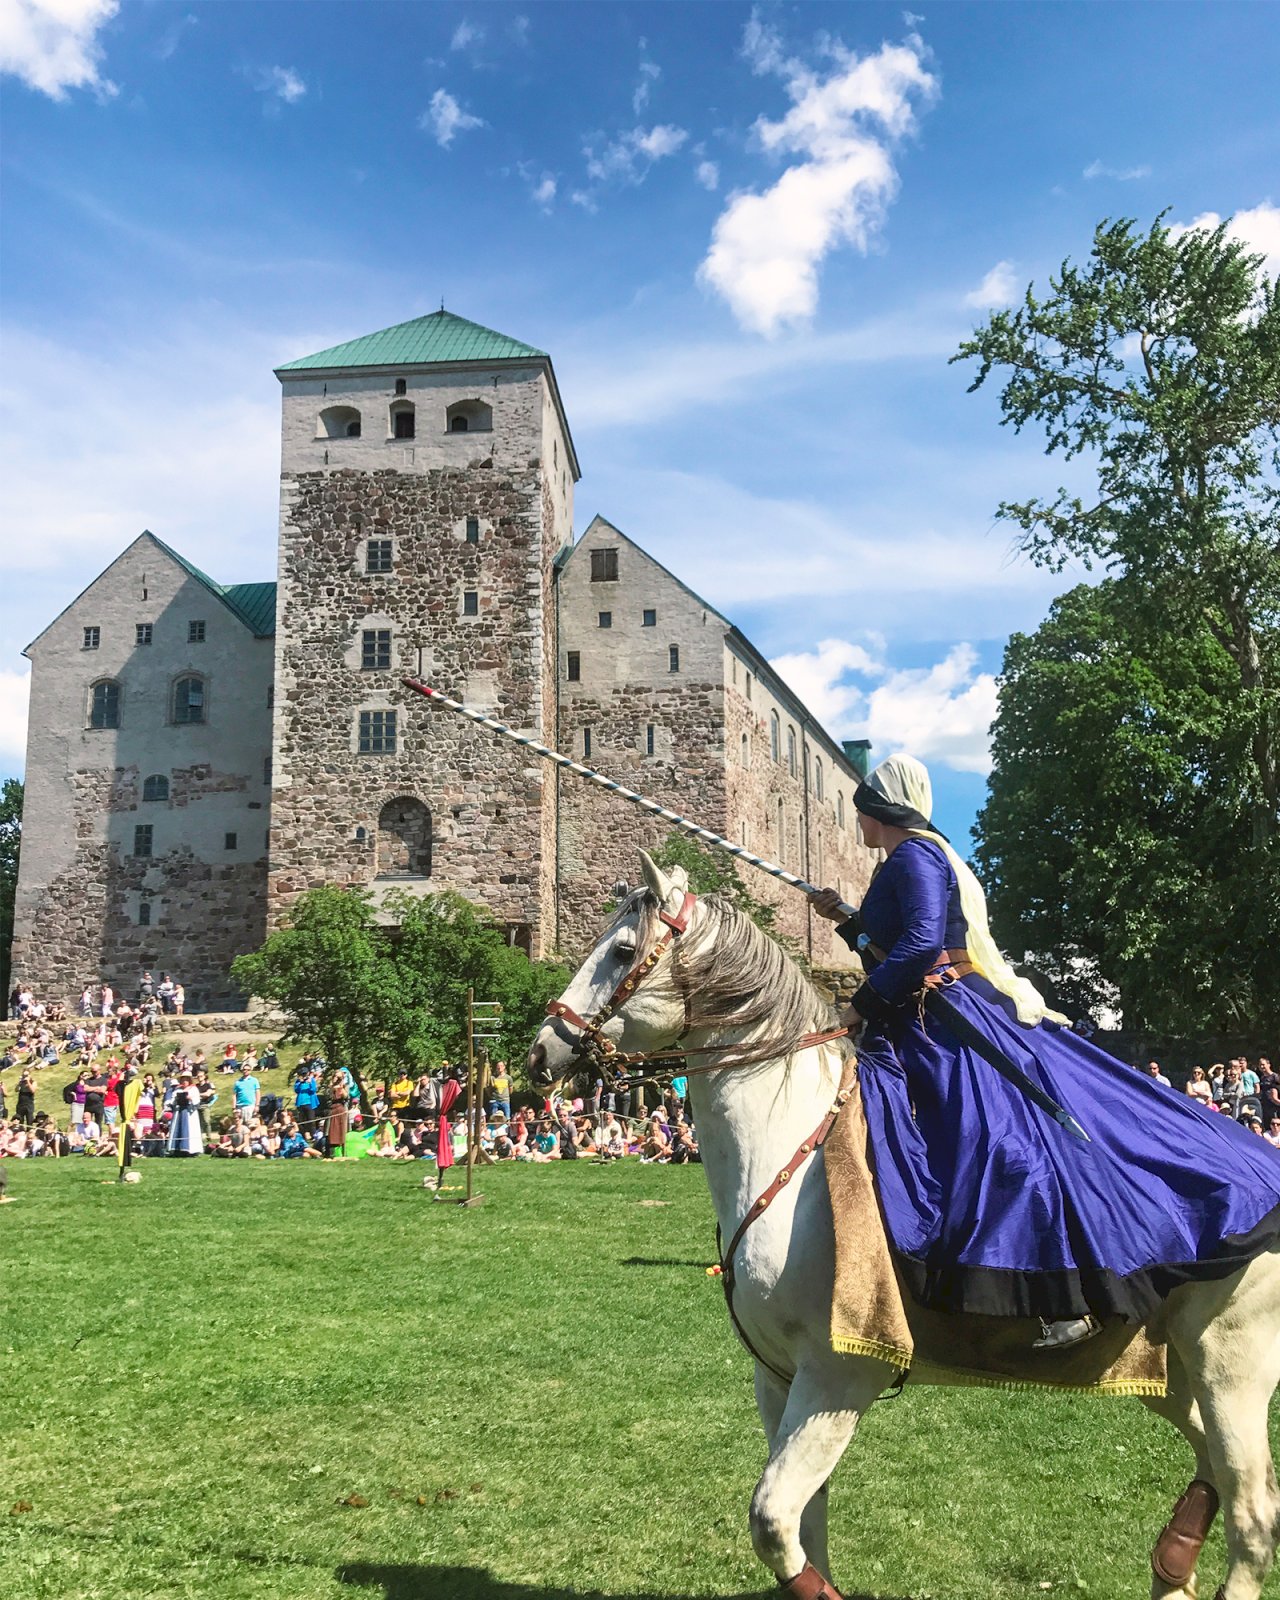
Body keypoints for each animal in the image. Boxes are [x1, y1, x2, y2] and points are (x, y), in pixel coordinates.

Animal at [524, 857, 1280, 1600]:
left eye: (623, 952)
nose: (539, 1054)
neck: (790, 1144)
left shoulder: (839, 1378)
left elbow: (772, 1520)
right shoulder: (778, 1380)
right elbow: (809, 1526)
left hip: (1231, 1365)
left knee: (1253, 1514)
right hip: (1175, 1371)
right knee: (1215, 1468)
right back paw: (1171, 1565)